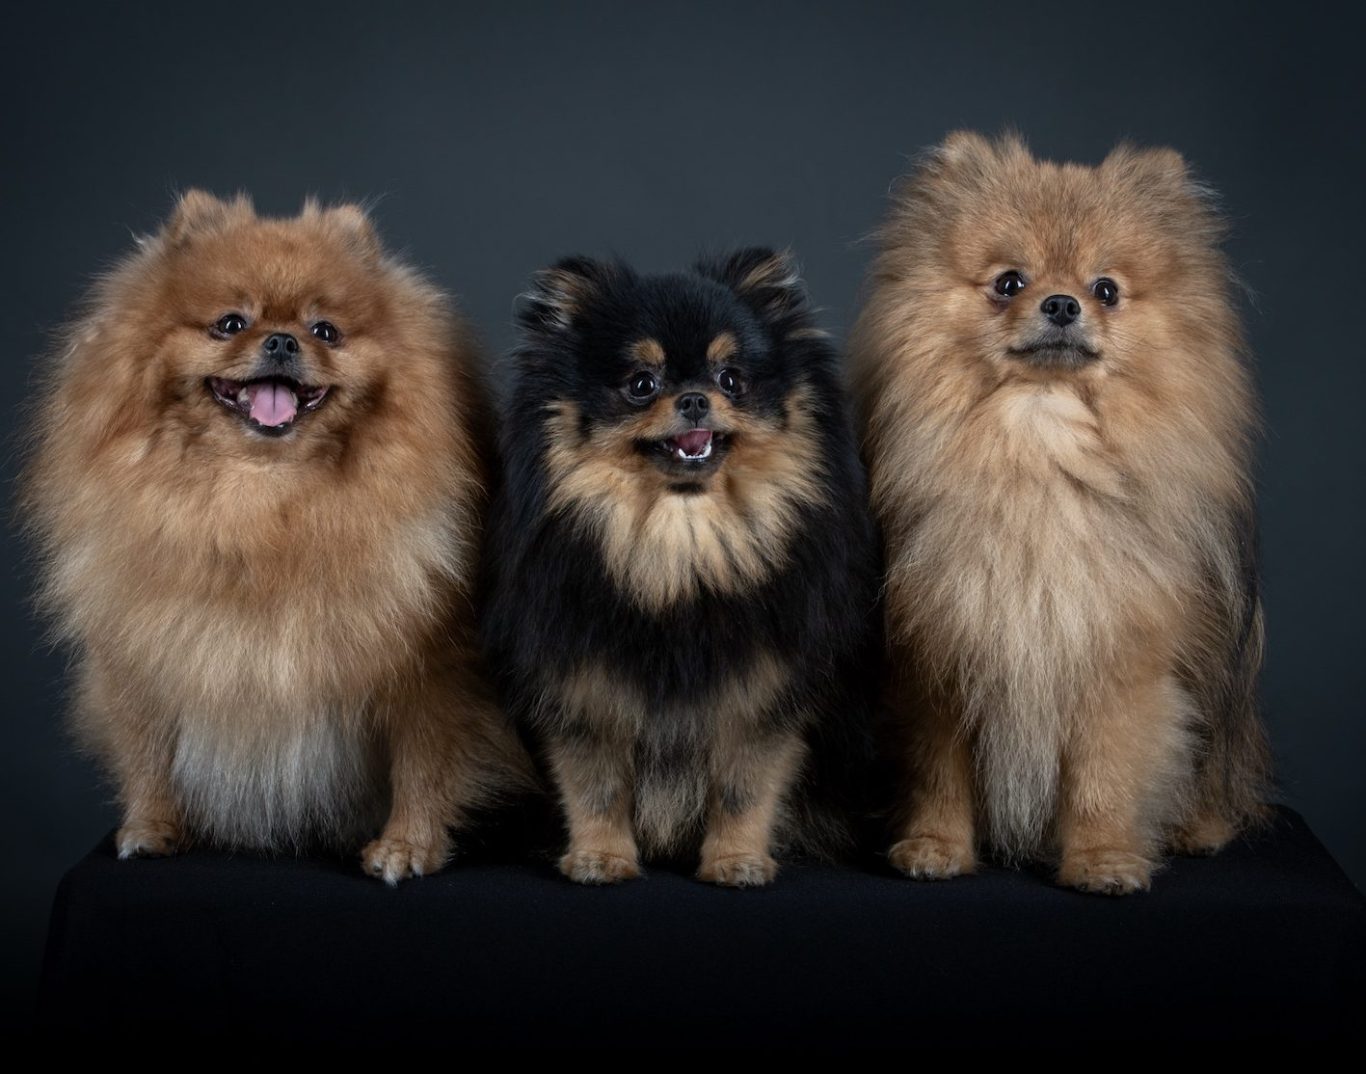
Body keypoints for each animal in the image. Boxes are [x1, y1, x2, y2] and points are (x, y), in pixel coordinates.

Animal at [25, 192, 532, 879]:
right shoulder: (147, 648)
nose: (284, 339)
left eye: (326, 331)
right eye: (229, 323)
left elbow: (423, 765)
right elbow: (147, 750)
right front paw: (151, 827)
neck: (263, 503)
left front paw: (406, 846)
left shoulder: (430, 670)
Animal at [486, 247, 879, 885]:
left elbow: (744, 787)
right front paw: (600, 858)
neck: (680, 543)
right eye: (641, 385)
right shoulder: (585, 687)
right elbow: (595, 785)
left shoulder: (760, 691)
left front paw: (736, 861)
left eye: (731, 380)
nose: (694, 398)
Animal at [852, 131, 1267, 885]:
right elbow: (938, 774)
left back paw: (1200, 830)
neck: (1038, 453)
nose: (1063, 304)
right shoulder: (942, 660)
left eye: (1106, 290)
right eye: (1009, 282)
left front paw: (1101, 858)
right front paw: (935, 848)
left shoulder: (1115, 662)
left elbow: (1104, 776)